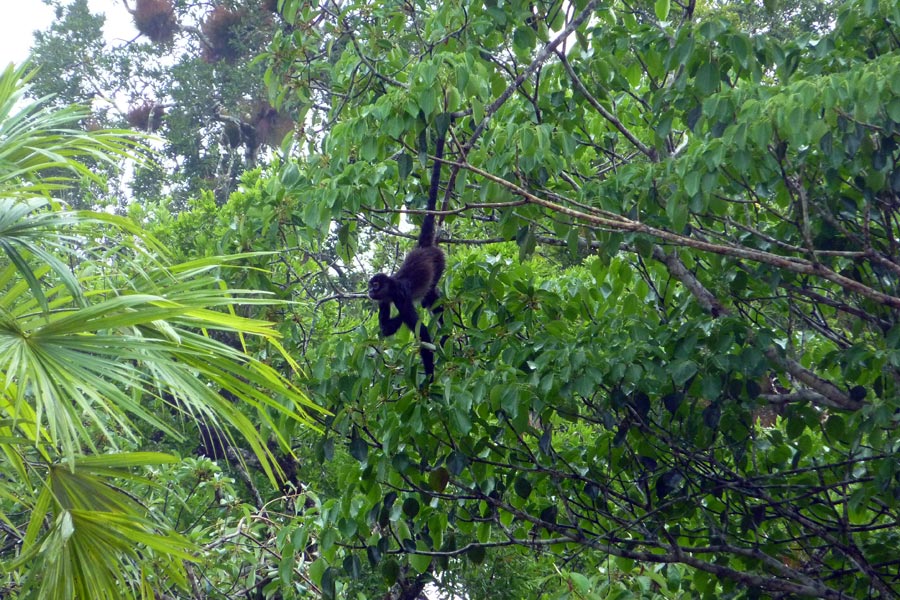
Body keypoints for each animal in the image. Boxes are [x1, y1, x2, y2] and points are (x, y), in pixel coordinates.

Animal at [368, 120, 448, 378]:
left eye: (375, 285)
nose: (369, 290)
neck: (391, 287)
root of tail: (423, 247)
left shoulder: (400, 297)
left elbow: (422, 333)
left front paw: (429, 378)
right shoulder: (384, 300)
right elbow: (386, 328)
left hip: (440, 261)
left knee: (430, 299)